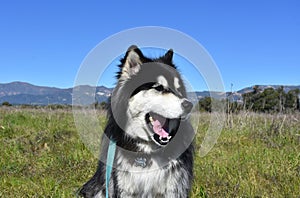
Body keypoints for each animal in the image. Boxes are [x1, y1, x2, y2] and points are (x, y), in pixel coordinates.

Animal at [78, 45, 195, 197]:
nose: (189, 105)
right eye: (158, 87)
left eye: (179, 89)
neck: (149, 152)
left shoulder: (173, 188)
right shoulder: (124, 187)